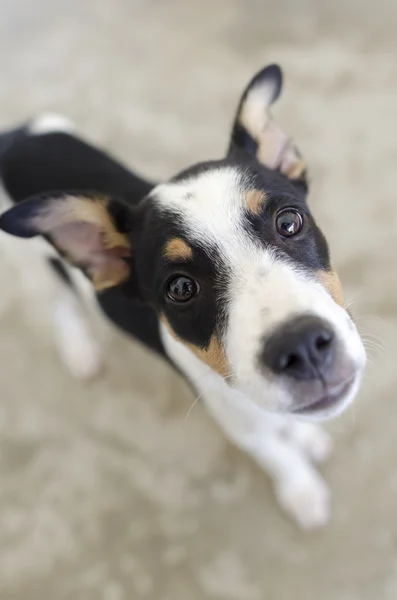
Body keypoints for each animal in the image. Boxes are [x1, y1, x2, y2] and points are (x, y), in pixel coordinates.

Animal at [0, 63, 366, 528]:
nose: (302, 346)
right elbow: (277, 455)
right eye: (180, 288)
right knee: (59, 302)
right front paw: (303, 493)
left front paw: (304, 437)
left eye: (289, 223)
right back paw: (79, 350)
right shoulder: (238, 422)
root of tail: (12, 136)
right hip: (30, 264)